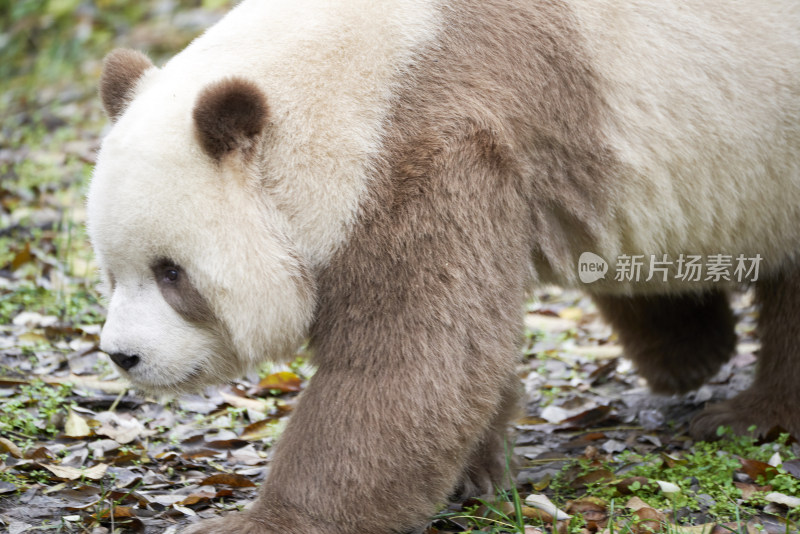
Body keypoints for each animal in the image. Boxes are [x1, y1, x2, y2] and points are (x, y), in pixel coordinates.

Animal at [87, 0, 800, 532]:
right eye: (111, 271)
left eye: (172, 272)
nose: (124, 356)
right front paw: (479, 470)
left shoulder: (424, 142)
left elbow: (412, 358)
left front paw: (262, 521)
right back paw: (687, 355)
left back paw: (748, 415)